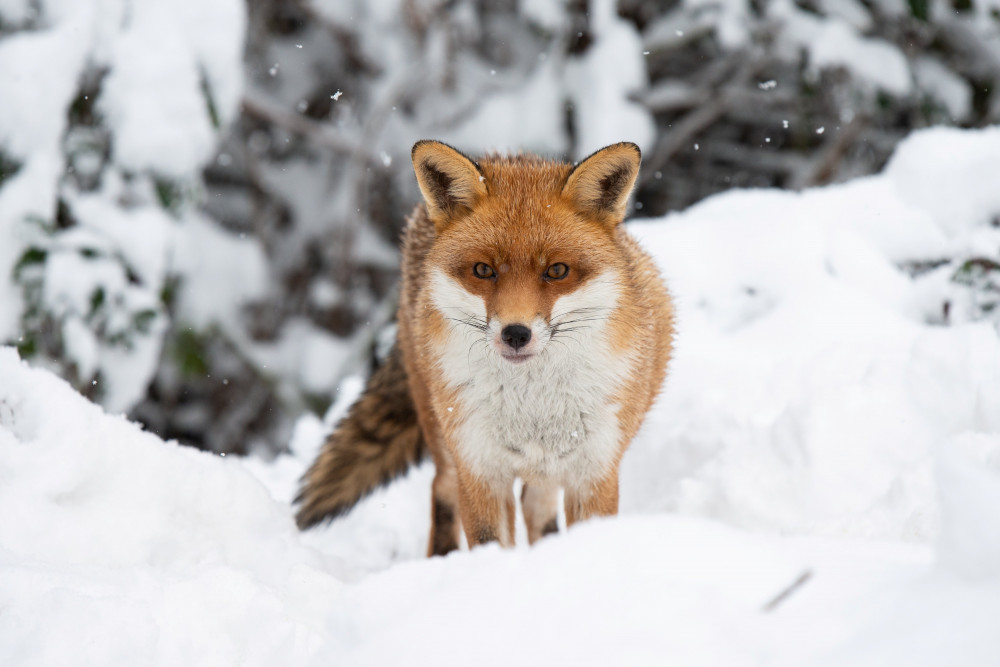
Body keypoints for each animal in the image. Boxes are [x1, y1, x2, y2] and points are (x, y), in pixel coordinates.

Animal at [294, 142, 672, 560]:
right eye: (483, 270)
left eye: (557, 271)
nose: (515, 334)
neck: (534, 407)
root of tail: (507, 153)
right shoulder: (480, 471)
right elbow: (490, 542)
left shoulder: (594, 473)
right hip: (444, 439)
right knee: (443, 491)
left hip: (549, 469)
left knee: (535, 506)